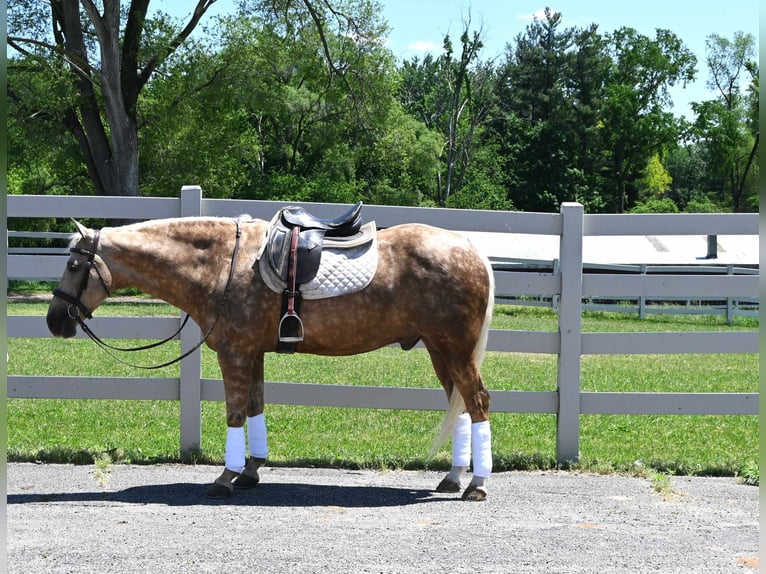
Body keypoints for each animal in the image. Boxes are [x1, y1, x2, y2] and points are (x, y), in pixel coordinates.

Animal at [46, 206, 495, 501]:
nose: (54, 321)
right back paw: (454, 477)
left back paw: (477, 484)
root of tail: (471, 248)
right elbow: (255, 407)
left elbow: (234, 413)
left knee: (476, 402)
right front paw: (251, 470)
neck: (223, 264)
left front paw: (225, 477)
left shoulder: (234, 353)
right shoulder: (253, 353)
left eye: (73, 265)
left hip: (456, 349)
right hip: (440, 349)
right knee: (458, 404)